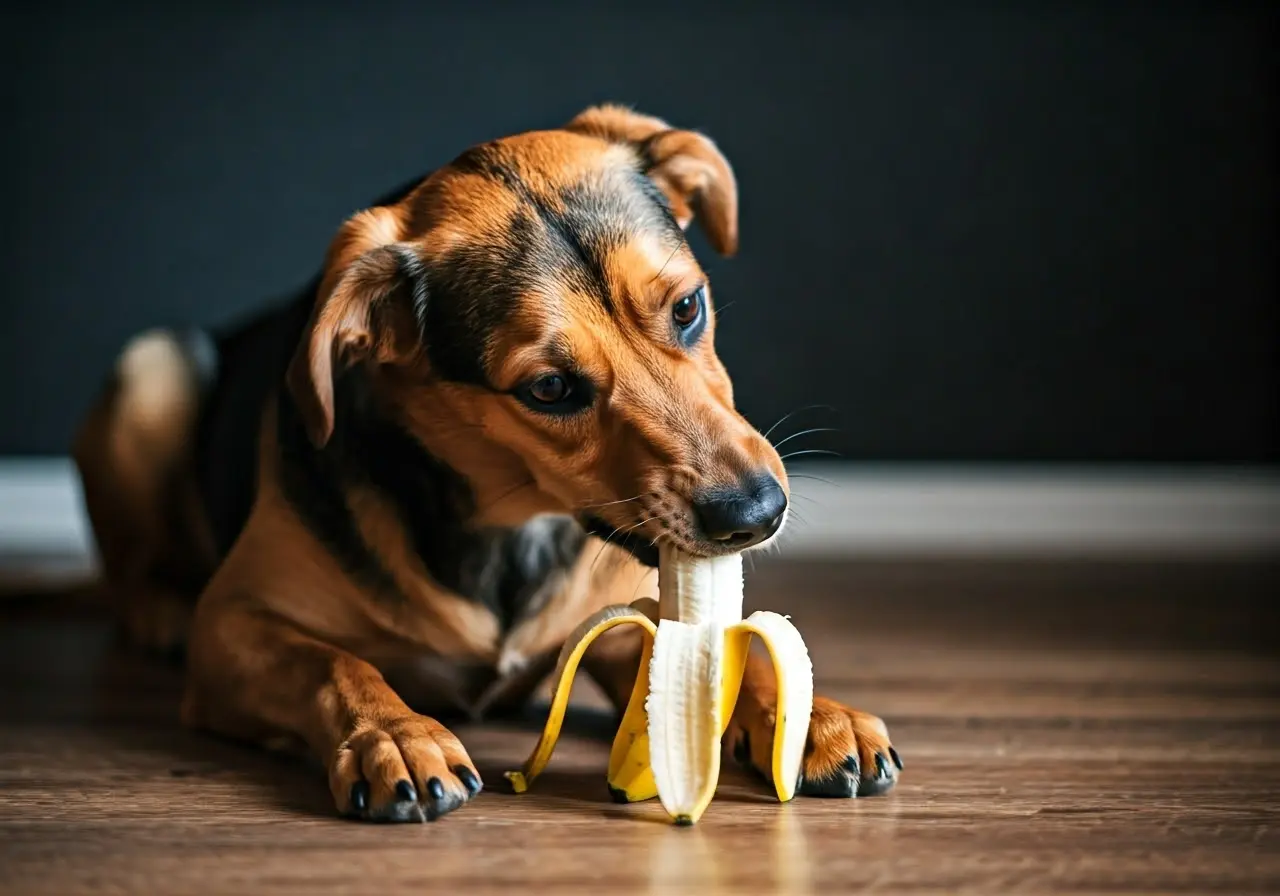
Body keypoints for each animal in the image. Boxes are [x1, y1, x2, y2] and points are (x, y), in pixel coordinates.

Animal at [72, 103, 901, 819]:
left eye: (688, 307)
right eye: (549, 389)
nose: (758, 513)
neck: (511, 525)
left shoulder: (628, 620)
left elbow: (730, 656)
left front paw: (811, 715)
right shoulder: (234, 622)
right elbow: (335, 665)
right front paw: (393, 736)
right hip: (151, 372)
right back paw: (160, 610)